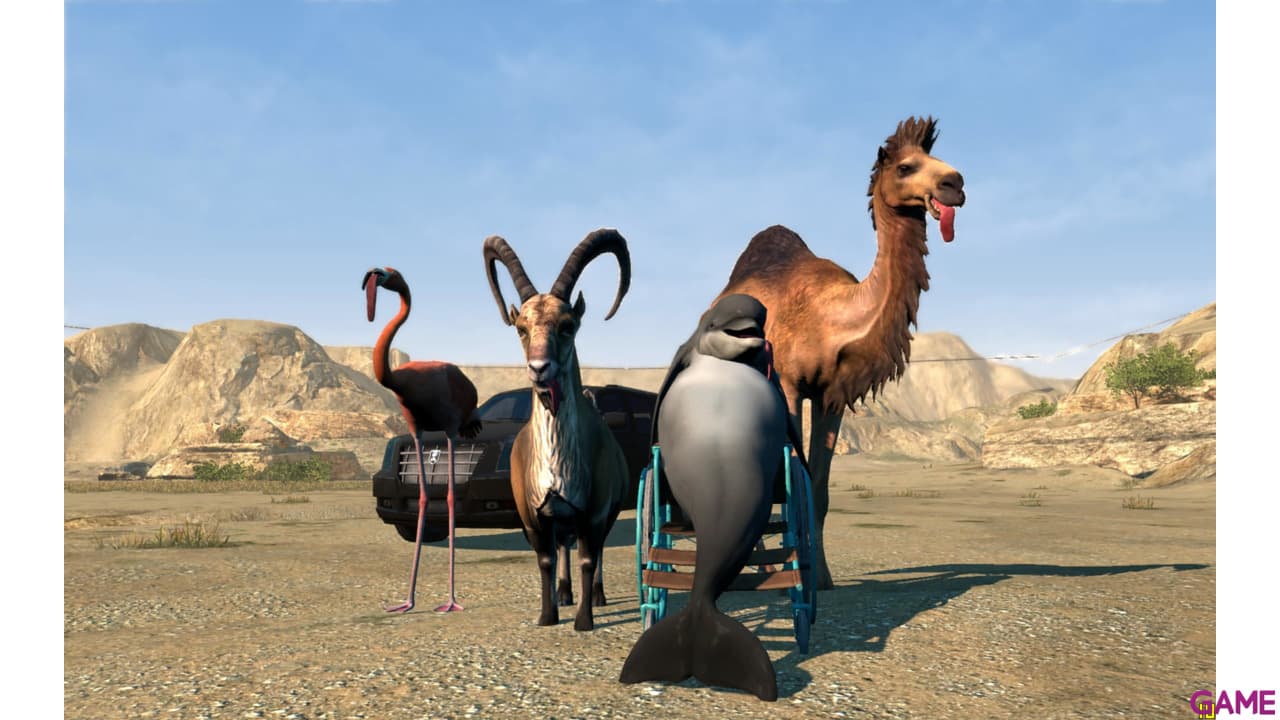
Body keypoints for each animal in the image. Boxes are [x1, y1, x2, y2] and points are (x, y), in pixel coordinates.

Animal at [483, 228, 630, 631]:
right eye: (521, 329)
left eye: (568, 326)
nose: (539, 368)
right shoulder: (533, 511)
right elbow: (546, 559)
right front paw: (548, 615)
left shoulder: (595, 509)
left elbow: (589, 558)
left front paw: (584, 621)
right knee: (563, 544)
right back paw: (564, 593)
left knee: (595, 550)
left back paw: (595, 595)